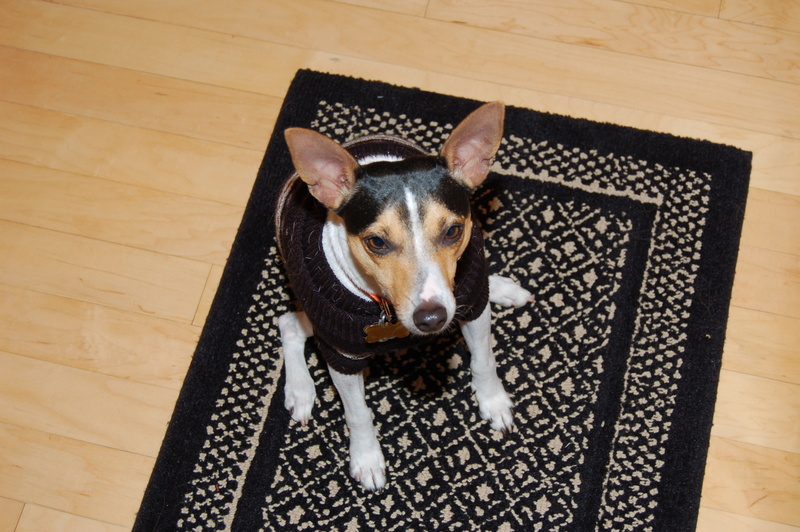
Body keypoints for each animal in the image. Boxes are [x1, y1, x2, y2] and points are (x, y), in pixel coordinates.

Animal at [276, 102, 533, 491]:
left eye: (453, 231)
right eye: (376, 242)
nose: (432, 317)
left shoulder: (473, 309)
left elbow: (484, 361)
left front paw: (493, 401)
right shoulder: (341, 353)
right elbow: (357, 414)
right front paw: (366, 457)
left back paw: (503, 288)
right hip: (313, 314)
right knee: (288, 323)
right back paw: (301, 390)